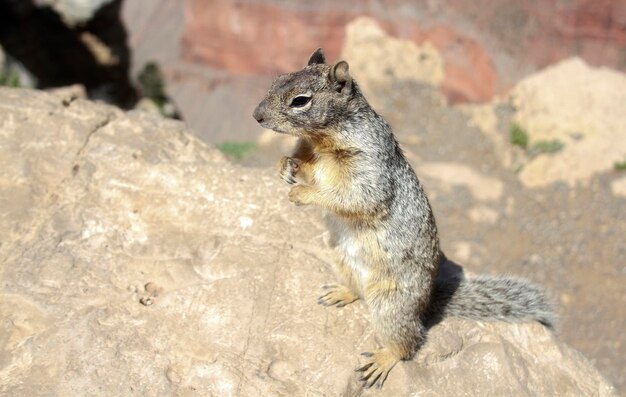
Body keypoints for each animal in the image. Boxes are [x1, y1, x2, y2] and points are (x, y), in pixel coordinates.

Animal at [251, 48, 552, 388]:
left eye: (300, 100)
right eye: (276, 80)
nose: (256, 115)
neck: (320, 139)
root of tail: (427, 302)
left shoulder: (368, 171)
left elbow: (351, 197)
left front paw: (301, 194)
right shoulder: (309, 151)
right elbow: (303, 164)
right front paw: (285, 167)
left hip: (390, 307)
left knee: (409, 341)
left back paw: (382, 360)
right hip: (344, 263)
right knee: (358, 292)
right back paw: (340, 292)